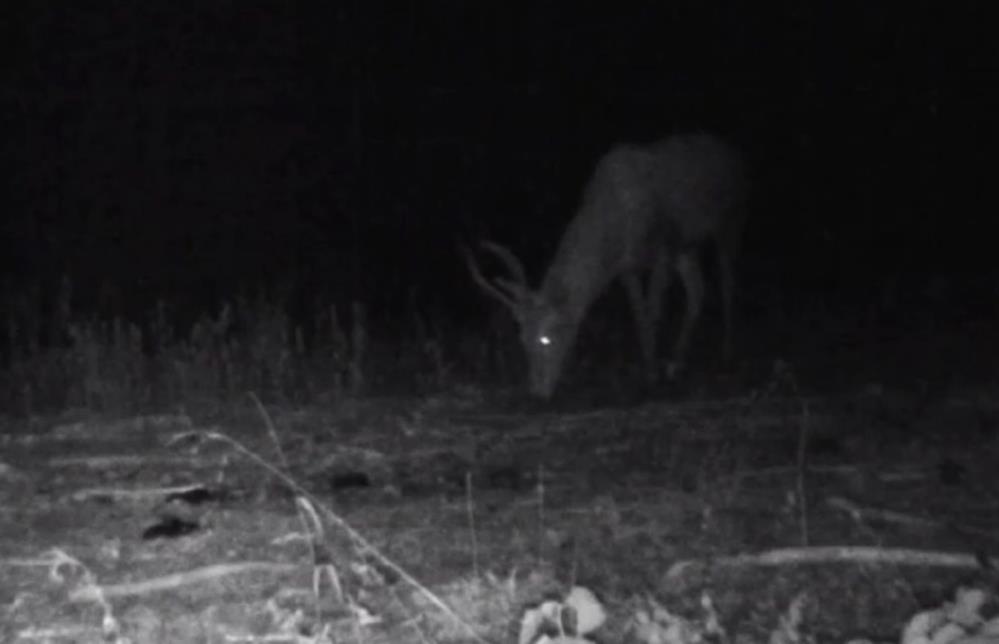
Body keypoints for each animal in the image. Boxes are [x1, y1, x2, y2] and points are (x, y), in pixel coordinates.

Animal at [464, 133, 748, 398]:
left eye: (547, 339)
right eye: (522, 338)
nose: (537, 390)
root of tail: (732, 154)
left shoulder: (663, 249)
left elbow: (654, 311)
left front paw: (653, 375)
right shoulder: (628, 266)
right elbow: (639, 314)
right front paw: (651, 370)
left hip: (728, 220)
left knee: (727, 283)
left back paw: (726, 353)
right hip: (687, 247)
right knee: (697, 290)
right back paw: (677, 363)